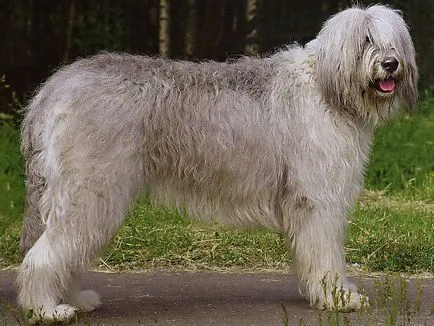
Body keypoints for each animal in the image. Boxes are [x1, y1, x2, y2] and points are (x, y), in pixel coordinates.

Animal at [17, 3, 418, 324]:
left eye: (393, 42)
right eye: (366, 40)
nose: (390, 65)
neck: (325, 86)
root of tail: (55, 86)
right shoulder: (318, 202)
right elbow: (327, 255)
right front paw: (339, 297)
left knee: (61, 251)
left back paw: (73, 299)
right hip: (91, 193)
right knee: (43, 255)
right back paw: (46, 309)